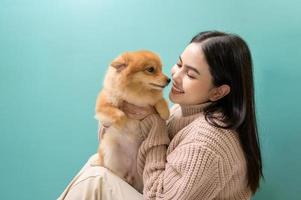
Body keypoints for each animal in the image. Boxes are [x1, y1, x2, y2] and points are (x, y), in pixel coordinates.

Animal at [94, 50, 170, 192]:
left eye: (161, 69)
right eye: (151, 69)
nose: (169, 79)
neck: (136, 93)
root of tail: (131, 175)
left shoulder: (150, 101)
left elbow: (160, 100)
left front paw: (165, 112)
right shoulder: (103, 105)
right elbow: (119, 113)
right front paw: (121, 123)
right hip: (110, 151)